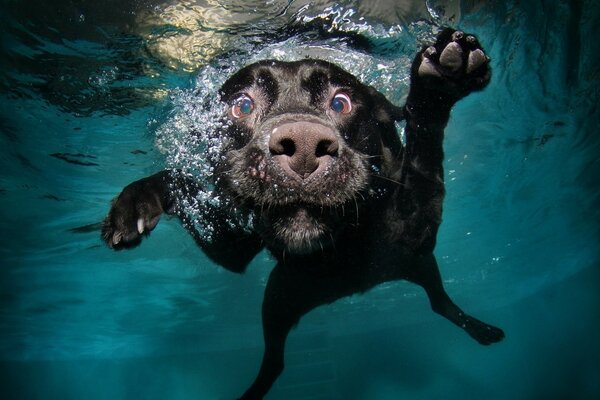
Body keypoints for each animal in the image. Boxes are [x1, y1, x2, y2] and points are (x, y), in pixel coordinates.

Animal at [103, 26, 506, 398]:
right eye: (242, 105)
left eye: (341, 103)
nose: (305, 147)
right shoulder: (231, 246)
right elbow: (180, 181)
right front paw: (136, 200)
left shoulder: (414, 225)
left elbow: (423, 152)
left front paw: (439, 81)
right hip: (278, 300)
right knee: (276, 362)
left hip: (418, 265)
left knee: (439, 303)